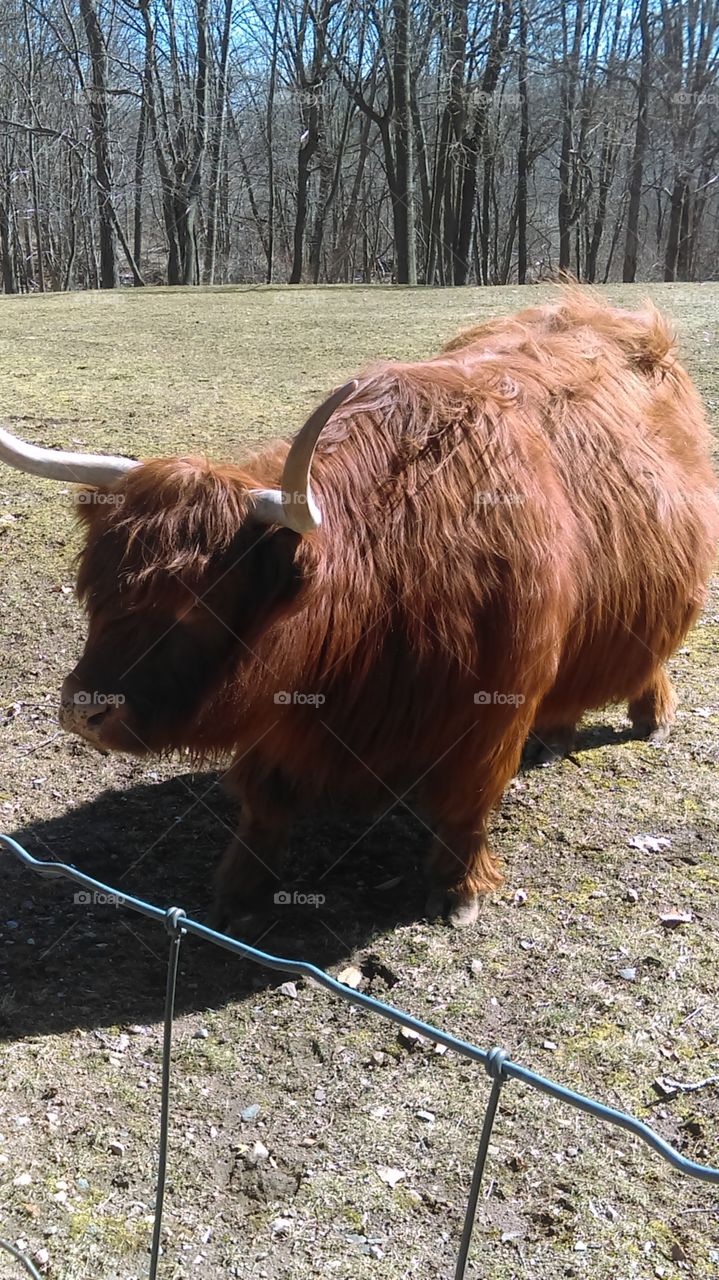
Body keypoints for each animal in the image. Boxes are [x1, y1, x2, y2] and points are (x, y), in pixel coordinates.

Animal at [1, 290, 717, 928]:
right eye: (98, 589)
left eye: (196, 607)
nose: (84, 712)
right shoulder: (277, 711)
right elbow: (263, 804)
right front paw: (240, 891)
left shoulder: (494, 709)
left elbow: (466, 804)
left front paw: (457, 891)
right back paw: (558, 732)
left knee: (651, 656)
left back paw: (651, 716)